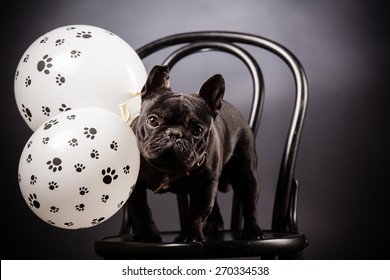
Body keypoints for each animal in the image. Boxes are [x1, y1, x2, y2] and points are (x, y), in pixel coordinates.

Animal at [129, 64, 264, 242]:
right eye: (152, 120)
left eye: (197, 130)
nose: (175, 133)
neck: (168, 168)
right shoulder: (134, 187)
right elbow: (141, 210)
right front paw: (146, 234)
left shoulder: (205, 187)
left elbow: (197, 213)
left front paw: (190, 236)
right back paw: (213, 225)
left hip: (246, 175)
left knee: (250, 206)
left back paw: (253, 230)